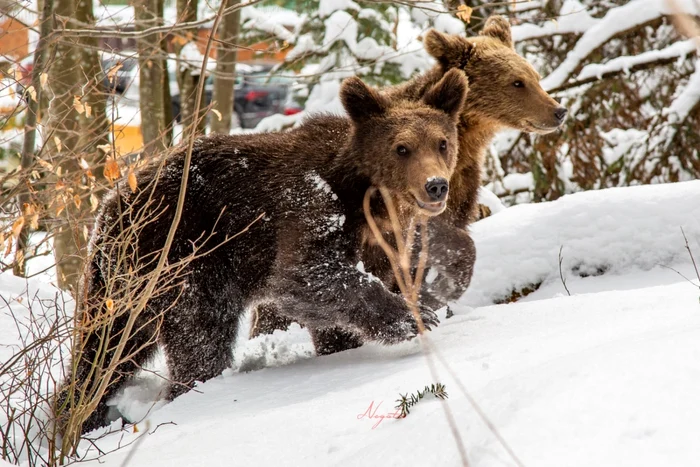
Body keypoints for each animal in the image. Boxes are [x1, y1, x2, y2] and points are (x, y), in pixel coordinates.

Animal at [57, 70, 468, 436]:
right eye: (402, 148)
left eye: (442, 142)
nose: (435, 185)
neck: (374, 203)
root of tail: (110, 205)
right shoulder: (311, 207)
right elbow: (308, 276)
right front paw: (417, 316)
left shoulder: (383, 242)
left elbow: (339, 312)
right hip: (179, 251)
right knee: (199, 331)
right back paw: (193, 390)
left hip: (125, 279)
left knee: (110, 343)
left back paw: (78, 413)